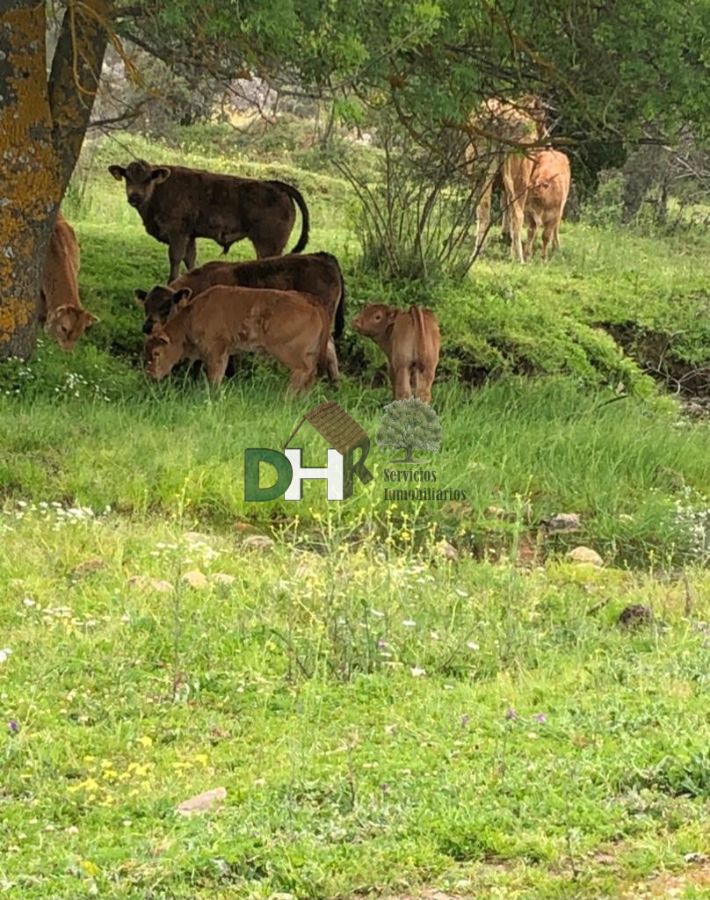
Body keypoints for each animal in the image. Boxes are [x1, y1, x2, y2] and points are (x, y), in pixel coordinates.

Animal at [108, 160, 308, 282]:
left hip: (268, 244)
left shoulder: (177, 233)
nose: (134, 196)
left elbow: (175, 257)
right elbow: (190, 259)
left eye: (148, 178)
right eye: (127, 177)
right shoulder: (190, 236)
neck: (159, 190)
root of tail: (274, 184)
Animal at [145, 284, 334, 390]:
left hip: (288, 352)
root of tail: (311, 300)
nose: (150, 374)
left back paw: (287, 397)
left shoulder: (216, 352)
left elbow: (215, 376)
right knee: (312, 373)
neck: (192, 315)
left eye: (156, 353)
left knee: (304, 370)